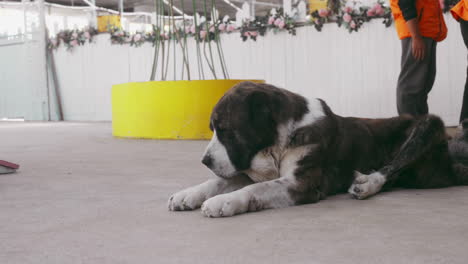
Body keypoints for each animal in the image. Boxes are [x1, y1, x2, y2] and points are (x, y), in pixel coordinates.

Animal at [166, 81, 466, 218]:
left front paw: (224, 202)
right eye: (212, 129)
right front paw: (187, 195)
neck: (281, 140)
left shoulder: (301, 183)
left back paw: (366, 183)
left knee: (391, 169)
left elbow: (255, 189)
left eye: (227, 131)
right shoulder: (250, 170)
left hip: (429, 124)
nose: (204, 160)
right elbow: (217, 182)